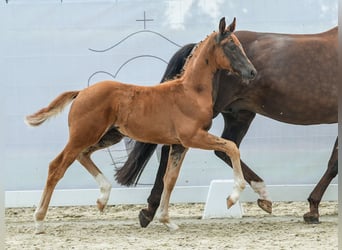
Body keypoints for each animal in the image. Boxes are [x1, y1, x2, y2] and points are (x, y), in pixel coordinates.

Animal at [24, 18, 256, 234]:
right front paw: (232, 197)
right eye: (231, 46)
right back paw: (39, 221)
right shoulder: (193, 137)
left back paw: (103, 198)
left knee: (83, 155)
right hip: (82, 136)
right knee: (56, 167)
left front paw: (167, 220)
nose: (252, 73)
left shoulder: (180, 144)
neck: (190, 92)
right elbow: (231, 147)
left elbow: (170, 179)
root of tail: (81, 92)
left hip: (108, 136)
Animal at [114, 25, 336, 227]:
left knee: (223, 149)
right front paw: (313, 209)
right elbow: (334, 164)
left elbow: (333, 162)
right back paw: (150, 210)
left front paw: (313, 208)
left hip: (239, 115)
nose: (251, 72)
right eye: (232, 48)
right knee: (175, 148)